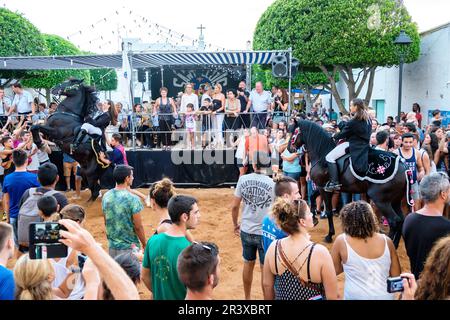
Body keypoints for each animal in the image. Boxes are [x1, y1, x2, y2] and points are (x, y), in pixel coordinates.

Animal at [292, 120, 412, 248]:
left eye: (294, 133)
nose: (290, 148)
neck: (322, 155)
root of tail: (404, 166)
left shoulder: (322, 187)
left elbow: (328, 211)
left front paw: (329, 235)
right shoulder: (325, 187)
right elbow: (312, 196)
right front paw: (314, 217)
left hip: (381, 200)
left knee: (394, 221)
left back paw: (390, 244)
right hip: (395, 200)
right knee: (401, 220)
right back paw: (395, 244)